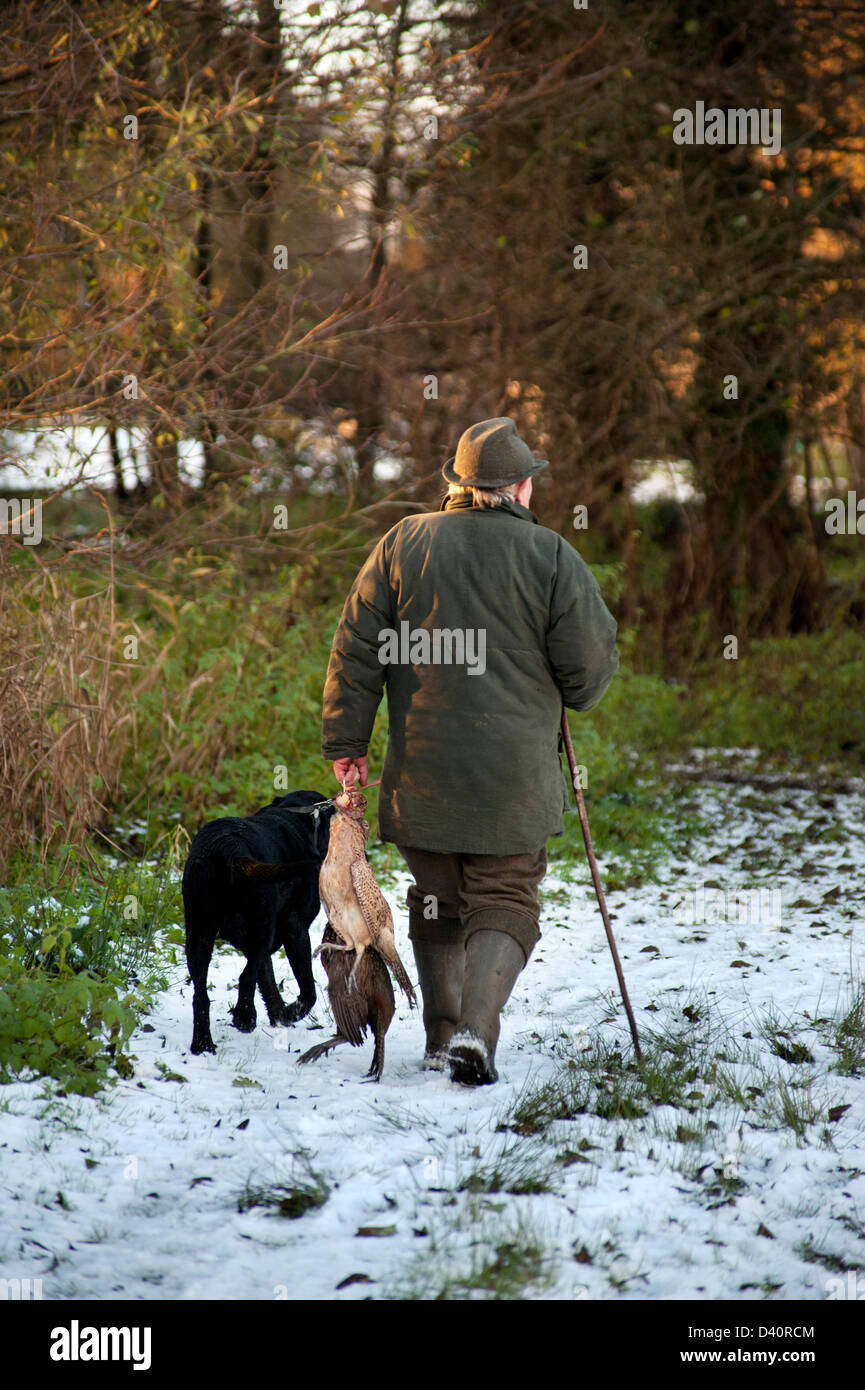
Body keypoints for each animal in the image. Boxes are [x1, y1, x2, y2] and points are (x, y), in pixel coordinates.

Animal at [180, 795, 333, 1050]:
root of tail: (229, 848)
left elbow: (267, 981)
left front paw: (280, 1015)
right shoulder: (295, 929)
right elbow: (307, 989)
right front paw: (290, 1013)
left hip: (199, 933)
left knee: (200, 994)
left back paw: (202, 1043)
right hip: (263, 928)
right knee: (246, 976)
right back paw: (244, 1017)